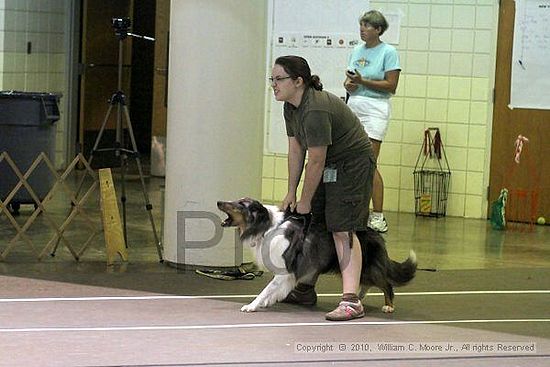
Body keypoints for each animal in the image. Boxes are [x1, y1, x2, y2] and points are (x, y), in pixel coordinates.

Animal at [218, 198, 416, 314]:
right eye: (237, 201)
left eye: (240, 204)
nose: (219, 202)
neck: (267, 228)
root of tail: (376, 234)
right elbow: (273, 290)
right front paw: (267, 302)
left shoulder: (284, 270)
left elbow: (266, 289)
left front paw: (252, 305)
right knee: (367, 283)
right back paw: (356, 298)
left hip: (368, 267)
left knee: (386, 284)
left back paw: (388, 306)